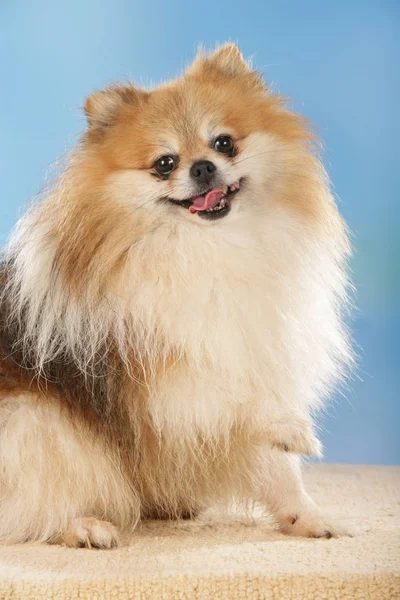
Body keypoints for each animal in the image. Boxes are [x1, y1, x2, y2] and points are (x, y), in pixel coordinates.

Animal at [0, 44, 354, 548]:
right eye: (165, 163)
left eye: (224, 143)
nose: (202, 167)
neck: (210, 247)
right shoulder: (151, 370)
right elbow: (226, 391)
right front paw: (292, 427)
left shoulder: (256, 349)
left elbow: (277, 467)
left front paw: (306, 517)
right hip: (30, 421)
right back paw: (82, 526)